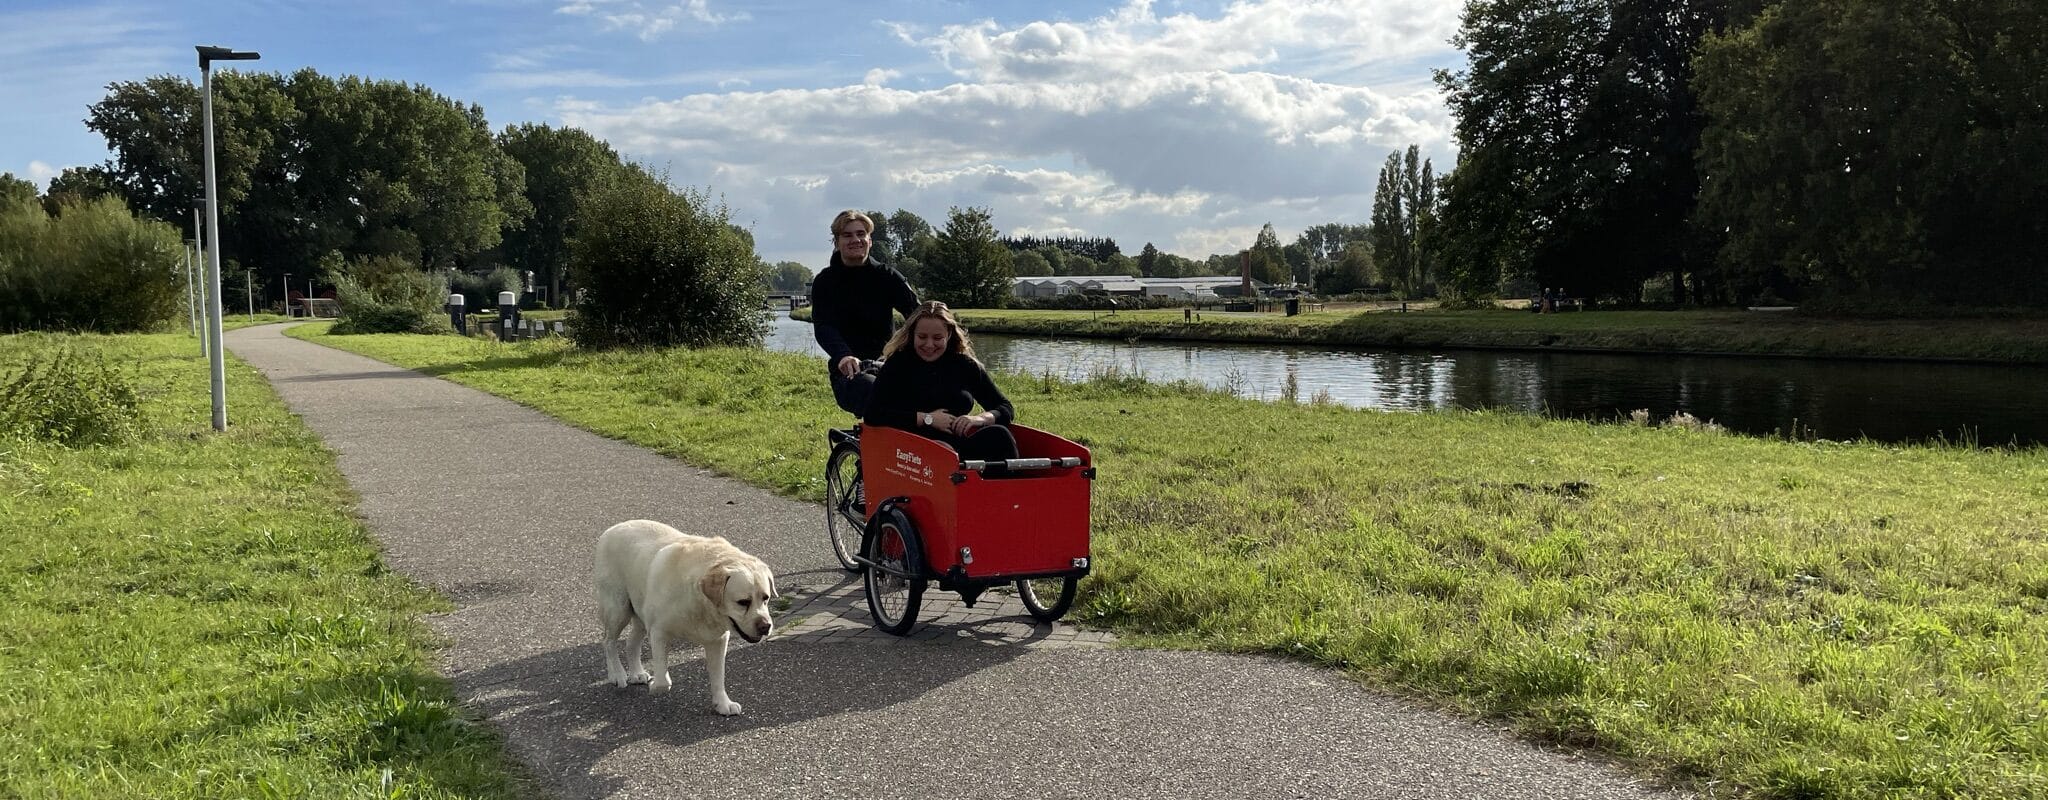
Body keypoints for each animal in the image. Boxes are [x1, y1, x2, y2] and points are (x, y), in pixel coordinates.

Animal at [598, 523, 782, 716]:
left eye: (766, 598)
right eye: (743, 602)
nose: (766, 626)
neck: (700, 602)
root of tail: (613, 528)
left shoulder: (718, 641)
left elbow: (719, 676)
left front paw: (723, 703)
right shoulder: (658, 632)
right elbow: (664, 680)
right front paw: (656, 685)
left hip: (639, 615)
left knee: (631, 642)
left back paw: (636, 673)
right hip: (618, 609)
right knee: (608, 641)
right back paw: (617, 674)